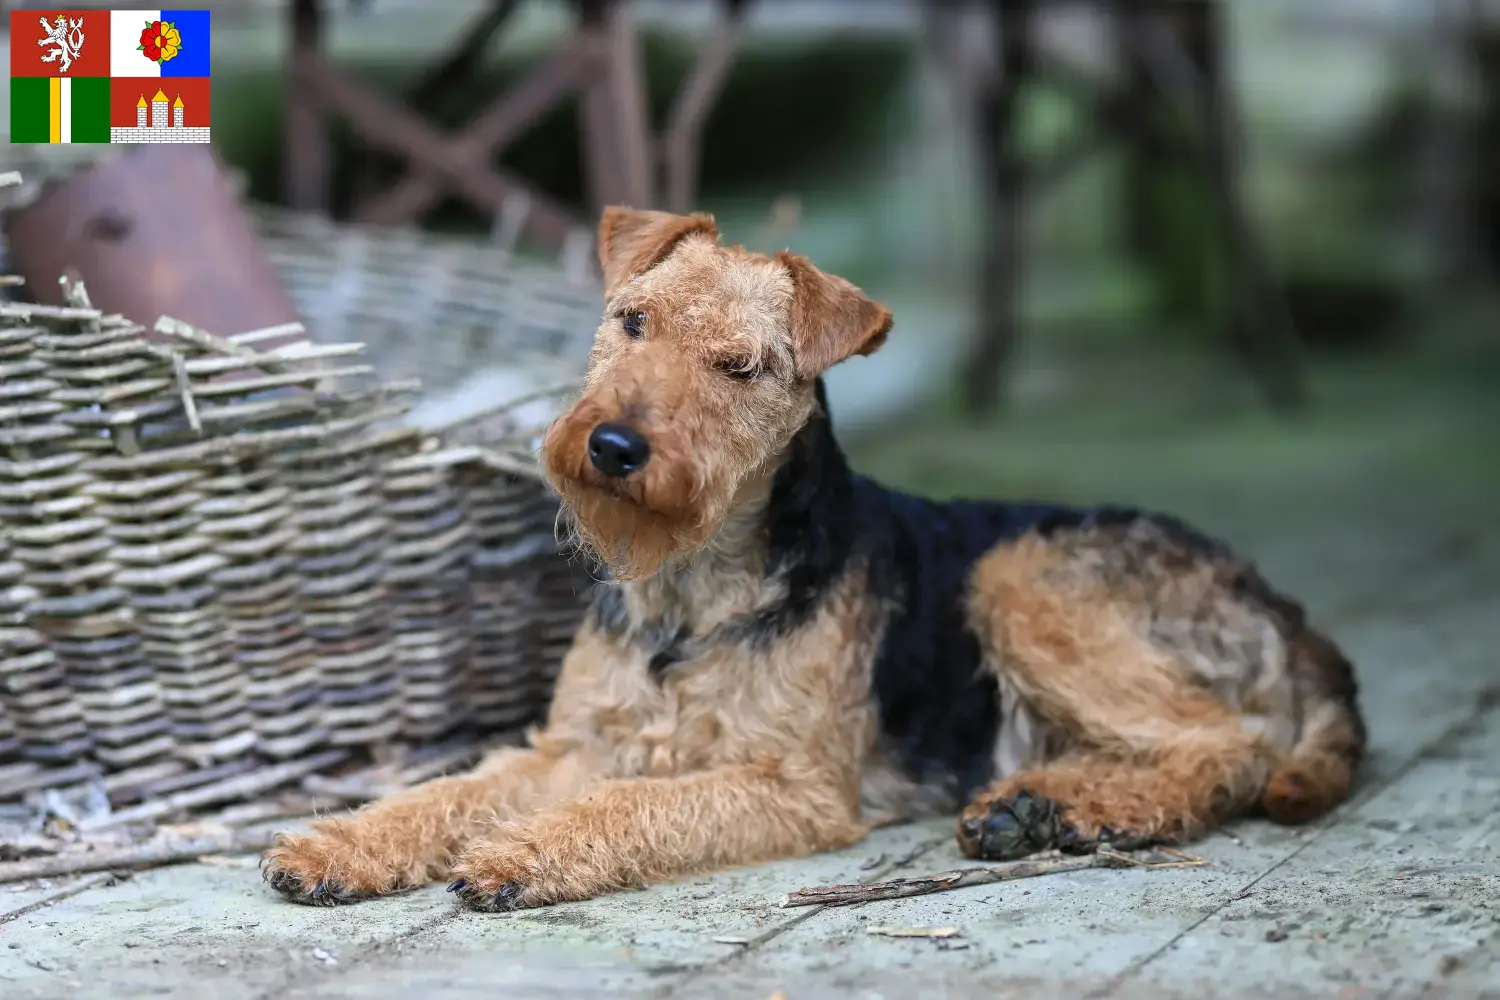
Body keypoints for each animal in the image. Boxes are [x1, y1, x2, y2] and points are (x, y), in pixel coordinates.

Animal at [264, 206, 1368, 911]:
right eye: (631, 320)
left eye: (740, 367)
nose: (613, 447)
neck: (689, 591)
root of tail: (1278, 604)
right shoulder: (571, 744)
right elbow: (448, 790)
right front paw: (331, 846)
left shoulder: (790, 784)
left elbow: (626, 805)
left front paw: (521, 855)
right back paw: (1034, 809)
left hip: (1018, 575)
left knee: (1228, 744)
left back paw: (1081, 812)